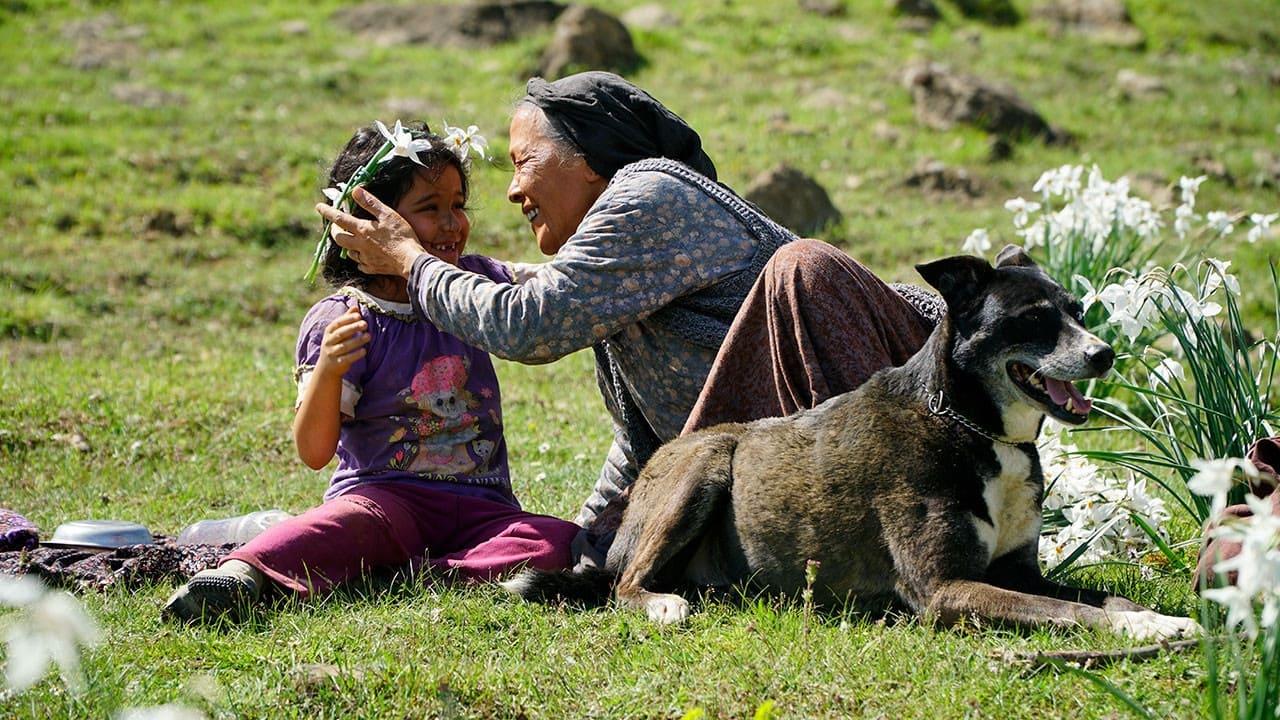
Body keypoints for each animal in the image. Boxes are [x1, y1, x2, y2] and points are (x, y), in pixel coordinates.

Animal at [506, 245, 1198, 638]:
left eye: (1078, 310)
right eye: (1031, 320)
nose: (1104, 354)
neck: (969, 424)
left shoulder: (1018, 572)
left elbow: (1104, 595)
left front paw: (1156, 617)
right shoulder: (946, 591)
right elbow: (1074, 613)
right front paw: (1143, 632)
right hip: (706, 465)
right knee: (625, 588)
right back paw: (663, 605)